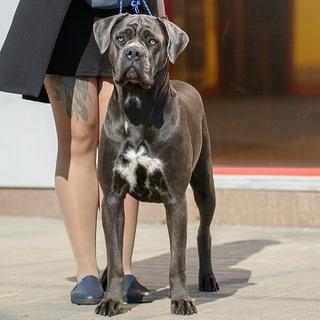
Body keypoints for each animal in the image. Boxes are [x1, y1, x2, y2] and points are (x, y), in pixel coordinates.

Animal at [92, 13, 218, 316]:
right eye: (121, 38)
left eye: (151, 41)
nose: (133, 53)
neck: (138, 108)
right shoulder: (112, 196)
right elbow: (115, 255)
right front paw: (111, 300)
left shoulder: (175, 198)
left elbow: (177, 260)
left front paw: (181, 300)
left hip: (204, 184)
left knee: (203, 232)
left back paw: (207, 278)